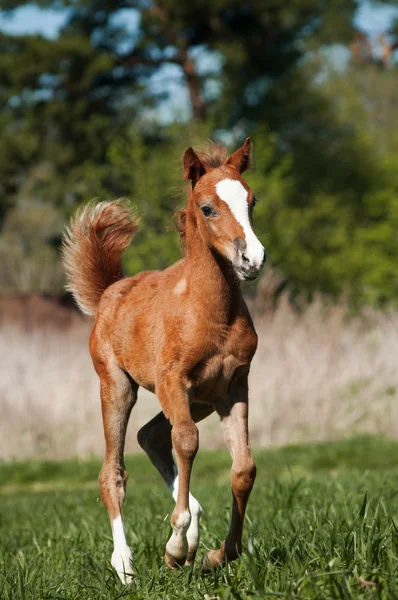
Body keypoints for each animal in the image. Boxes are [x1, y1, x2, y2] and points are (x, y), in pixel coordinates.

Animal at [62, 138, 266, 584]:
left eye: (252, 201)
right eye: (207, 208)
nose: (252, 259)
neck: (210, 310)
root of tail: (110, 292)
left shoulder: (234, 386)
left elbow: (243, 469)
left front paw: (217, 554)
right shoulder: (173, 380)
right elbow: (187, 442)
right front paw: (173, 548)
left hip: (200, 400)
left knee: (150, 436)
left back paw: (192, 537)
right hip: (117, 386)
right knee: (113, 472)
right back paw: (126, 566)